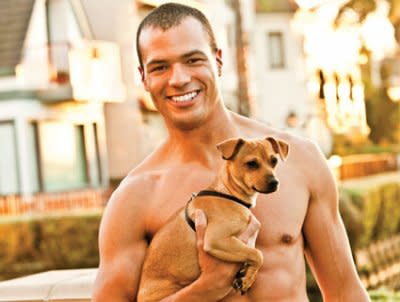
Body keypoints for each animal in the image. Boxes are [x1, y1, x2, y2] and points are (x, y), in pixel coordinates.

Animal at [137, 137, 288, 302]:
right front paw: (248, 279)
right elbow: (257, 254)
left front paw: (246, 275)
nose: (275, 182)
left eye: (274, 161)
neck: (228, 194)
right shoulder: (216, 239)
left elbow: (253, 255)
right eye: (251, 164)